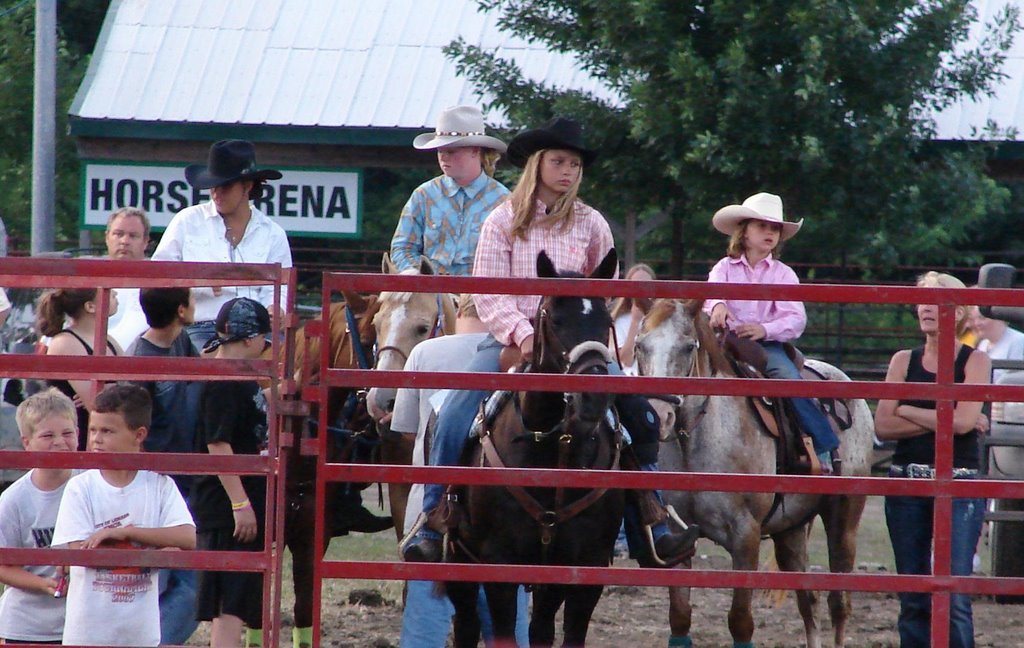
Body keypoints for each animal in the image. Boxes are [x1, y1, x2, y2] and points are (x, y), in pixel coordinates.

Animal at [444, 251, 618, 646]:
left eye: (607, 320)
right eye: (555, 319)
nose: (593, 397)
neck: (551, 453)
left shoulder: (584, 567)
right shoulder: (499, 564)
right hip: (457, 558)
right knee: (466, 624)